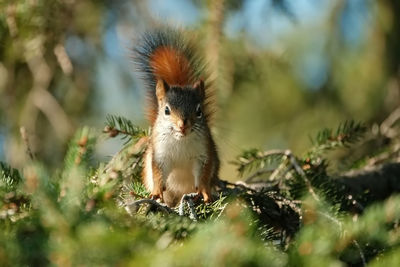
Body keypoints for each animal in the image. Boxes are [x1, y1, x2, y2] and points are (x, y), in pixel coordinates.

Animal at [134, 28, 222, 207]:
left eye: (199, 111)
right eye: (166, 110)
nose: (183, 124)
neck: (180, 140)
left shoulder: (203, 154)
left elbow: (203, 176)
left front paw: (204, 192)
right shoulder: (160, 155)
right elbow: (158, 174)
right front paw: (156, 192)